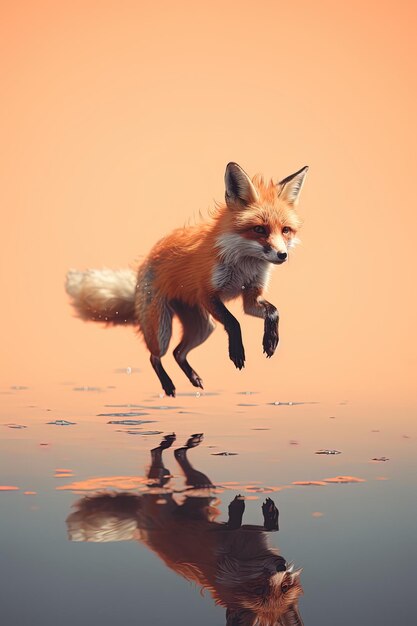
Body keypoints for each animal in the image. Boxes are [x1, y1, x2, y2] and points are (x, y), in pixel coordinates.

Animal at [65, 161, 306, 394]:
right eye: (259, 229)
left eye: (285, 230)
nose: (282, 255)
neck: (244, 264)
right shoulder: (207, 293)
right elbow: (234, 322)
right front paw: (237, 352)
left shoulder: (251, 296)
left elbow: (273, 312)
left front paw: (270, 341)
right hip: (162, 330)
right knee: (155, 356)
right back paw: (168, 386)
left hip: (203, 327)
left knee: (177, 353)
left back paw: (193, 378)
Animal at [66, 434, 304, 624]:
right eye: (258, 589)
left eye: (284, 588)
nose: (281, 566)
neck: (240, 561)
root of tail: (141, 529)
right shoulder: (223, 537)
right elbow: (239, 524)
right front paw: (241, 509)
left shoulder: (245, 538)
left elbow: (265, 528)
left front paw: (268, 514)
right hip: (191, 488)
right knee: (160, 457)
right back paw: (174, 443)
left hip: (203, 492)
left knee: (177, 457)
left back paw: (182, 444)